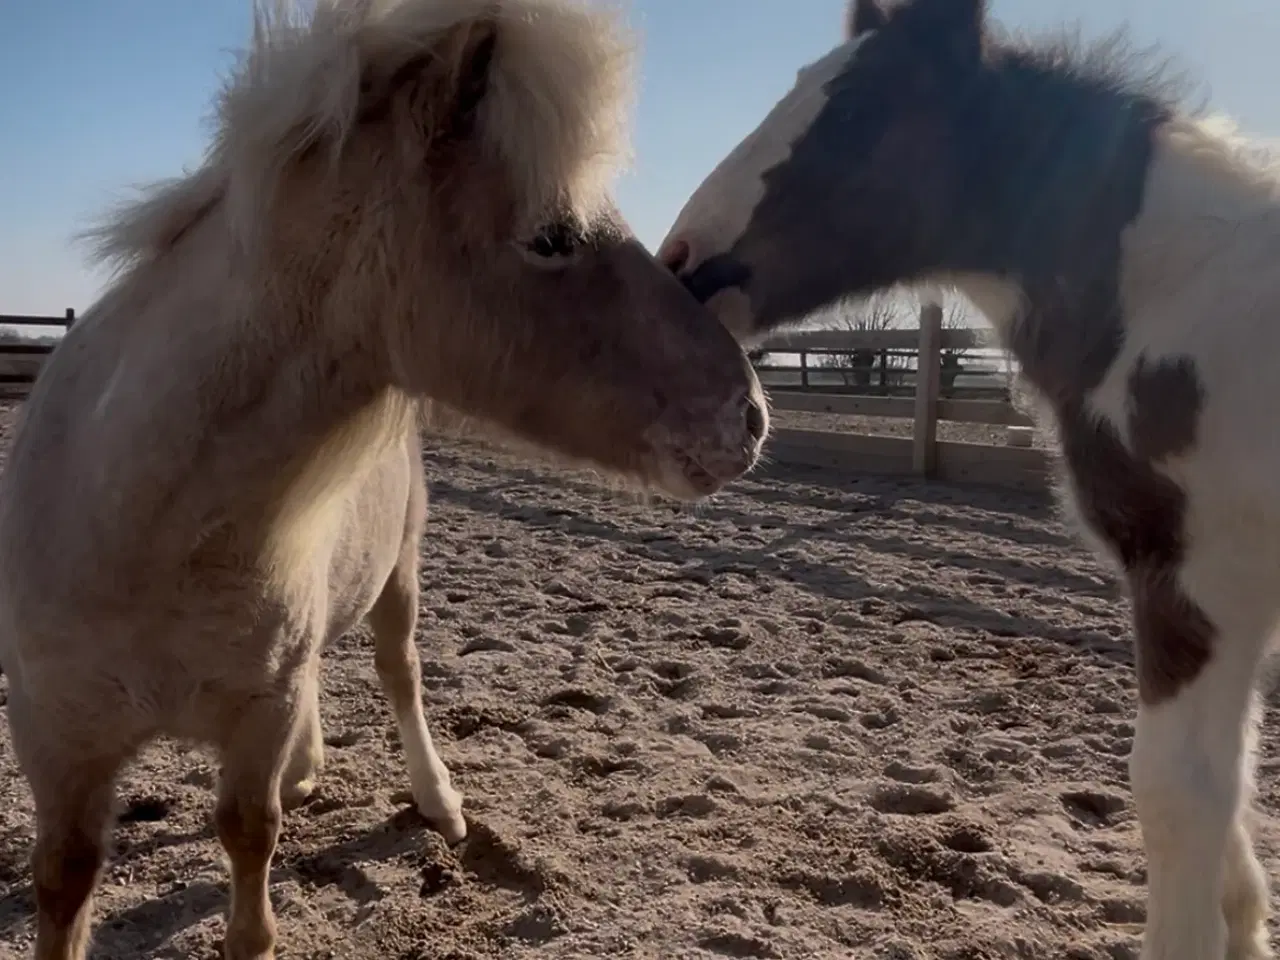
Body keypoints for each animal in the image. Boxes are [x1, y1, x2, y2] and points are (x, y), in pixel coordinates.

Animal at [0, 1, 757, 960]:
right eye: (552, 237)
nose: (750, 415)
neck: (146, 527)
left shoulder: (258, 713)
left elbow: (249, 840)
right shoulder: (57, 743)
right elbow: (65, 881)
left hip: (401, 573)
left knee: (400, 672)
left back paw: (436, 801)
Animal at [660, 0, 1280, 957]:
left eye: (854, 111)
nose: (682, 260)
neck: (1184, 297)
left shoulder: (1195, 577)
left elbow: (1181, 794)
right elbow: (1232, 793)